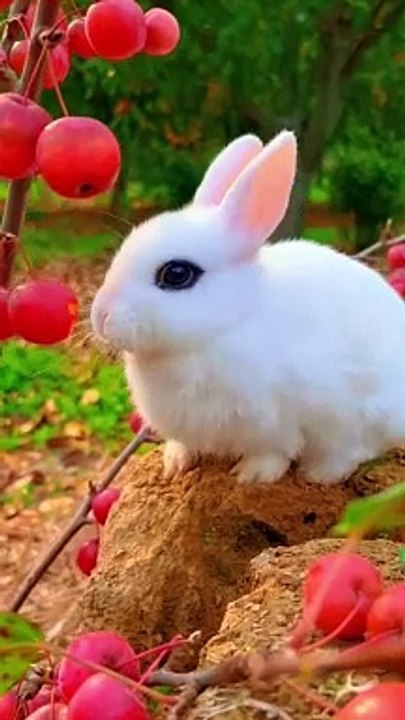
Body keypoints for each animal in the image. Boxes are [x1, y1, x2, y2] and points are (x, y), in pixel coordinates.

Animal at [91, 130, 405, 485]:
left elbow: (273, 453)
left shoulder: (276, 423)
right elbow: (184, 445)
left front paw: (251, 476)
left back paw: (317, 474)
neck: (225, 328)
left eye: (176, 274)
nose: (100, 316)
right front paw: (174, 464)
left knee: (351, 451)